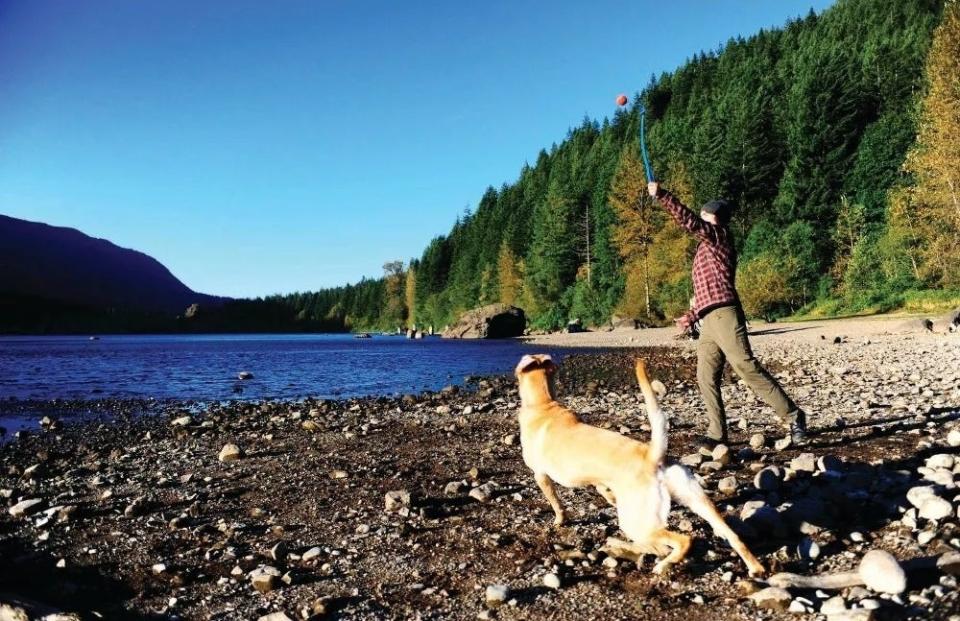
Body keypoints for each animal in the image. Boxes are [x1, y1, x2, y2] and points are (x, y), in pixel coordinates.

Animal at [516, 354, 764, 576]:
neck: (543, 403)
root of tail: (652, 455)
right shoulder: (598, 481)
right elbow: (602, 489)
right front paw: (610, 498)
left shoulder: (540, 476)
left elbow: (556, 504)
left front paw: (559, 520)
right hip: (698, 502)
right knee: (733, 535)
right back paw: (755, 567)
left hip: (636, 522)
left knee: (682, 540)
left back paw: (661, 563)